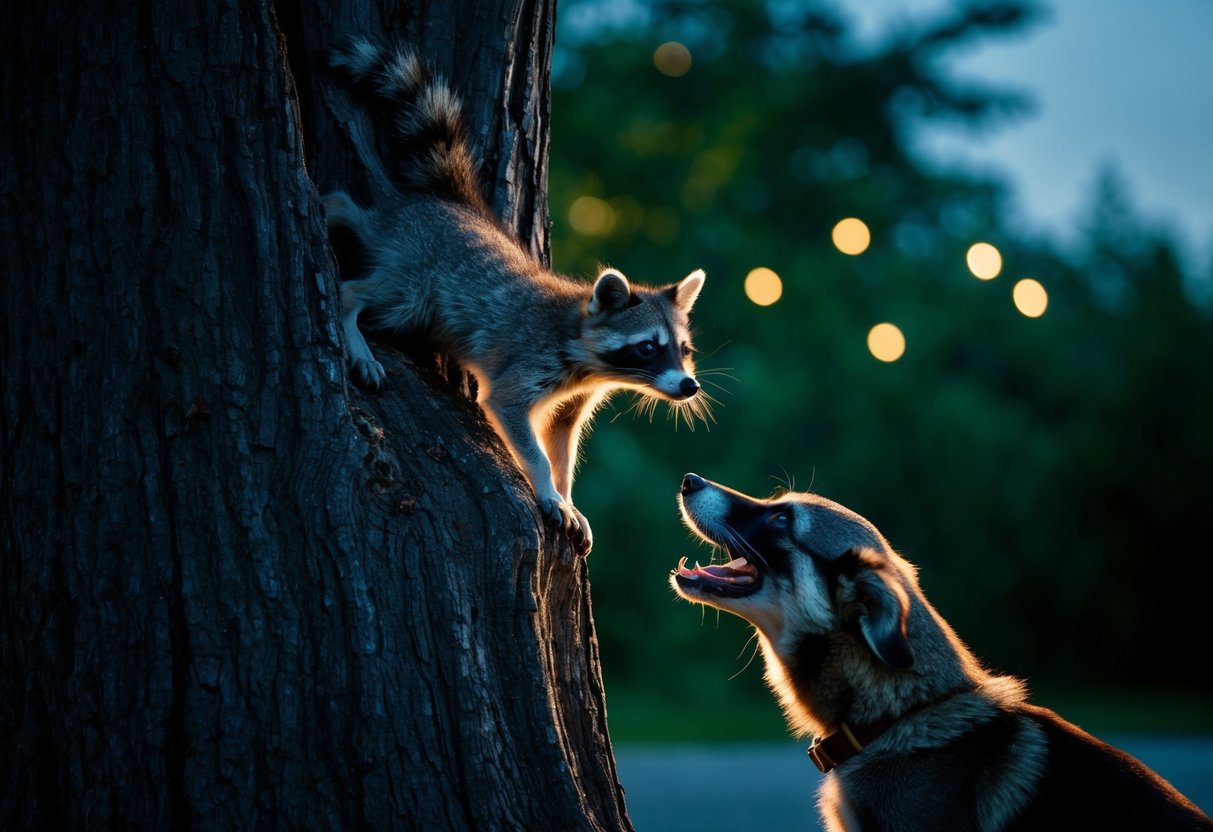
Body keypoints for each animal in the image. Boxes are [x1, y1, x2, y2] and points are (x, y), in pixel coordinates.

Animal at [324, 40, 708, 552]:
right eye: (648, 347)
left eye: (683, 349)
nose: (689, 386)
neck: (586, 349)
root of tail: (451, 205)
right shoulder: (529, 361)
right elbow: (513, 415)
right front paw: (546, 486)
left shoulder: (575, 397)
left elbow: (563, 441)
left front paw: (567, 493)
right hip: (419, 276)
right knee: (371, 289)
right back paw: (348, 288)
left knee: (371, 226)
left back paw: (338, 208)